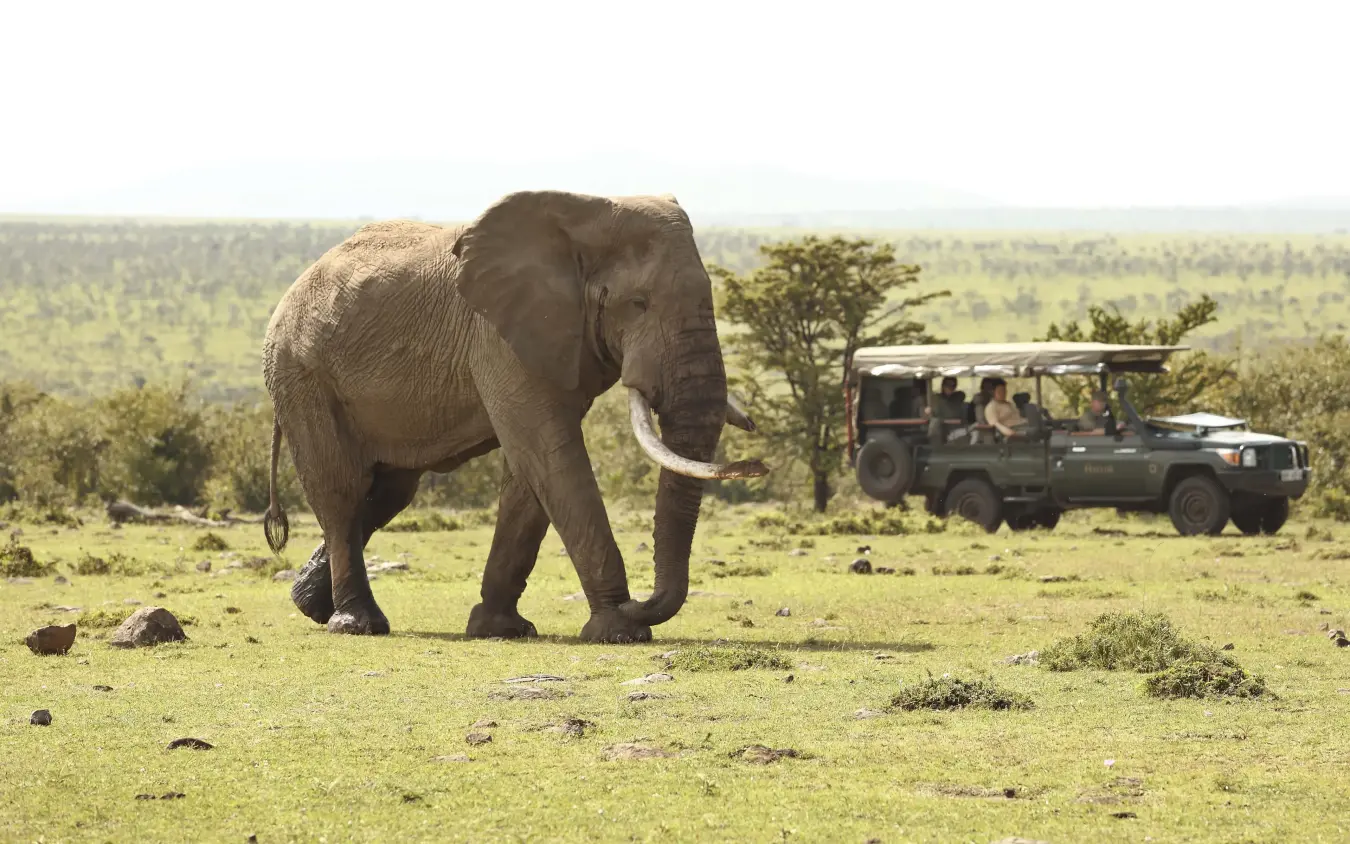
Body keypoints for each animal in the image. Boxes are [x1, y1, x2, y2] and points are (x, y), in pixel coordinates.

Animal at [260, 190, 769, 644]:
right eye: (637, 304)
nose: (757, 465)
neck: (586, 213)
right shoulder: (499, 338)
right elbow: (552, 456)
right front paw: (619, 631)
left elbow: (530, 474)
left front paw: (500, 630)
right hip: (301, 373)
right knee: (341, 490)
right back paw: (356, 624)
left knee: (388, 494)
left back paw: (310, 604)